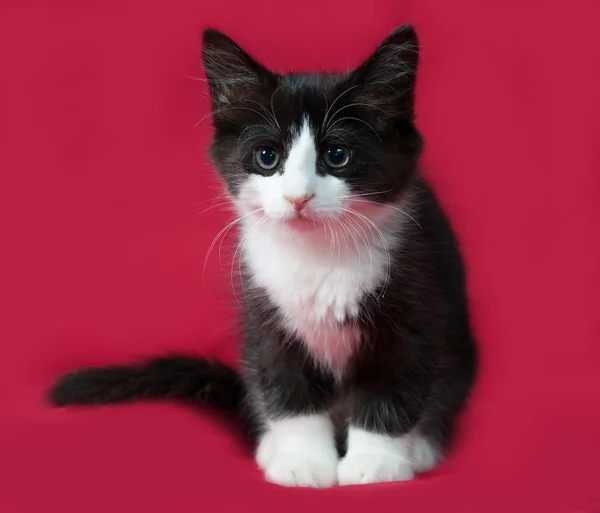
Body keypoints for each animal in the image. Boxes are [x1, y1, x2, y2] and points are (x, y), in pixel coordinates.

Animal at [48, 25, 478, 488]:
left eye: (337, 155)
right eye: (267, 157)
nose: (298, 197)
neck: (317, 256)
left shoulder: (415, 298)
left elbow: (392, 385)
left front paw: (375, 463)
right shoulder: (264, 309)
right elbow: (286, 386)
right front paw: (303, 461)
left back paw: (422, 446)